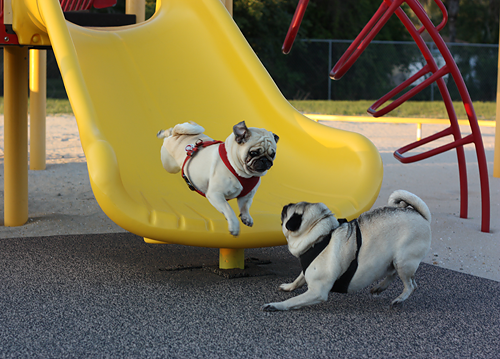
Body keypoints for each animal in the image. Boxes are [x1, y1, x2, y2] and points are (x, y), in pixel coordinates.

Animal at [264, 191, 432, 312]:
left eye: (287, 211)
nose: (285, 205)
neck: (320, 235)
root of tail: (420, 215)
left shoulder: (317, 292)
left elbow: (293, 301)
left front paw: (276, 305)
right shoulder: (307, 272)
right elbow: (299, 278)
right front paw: (289, 286)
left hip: (404, 262)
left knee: (410, 285)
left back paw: (399, 300)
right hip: (393, 260)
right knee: (392, 274)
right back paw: (380, 287)